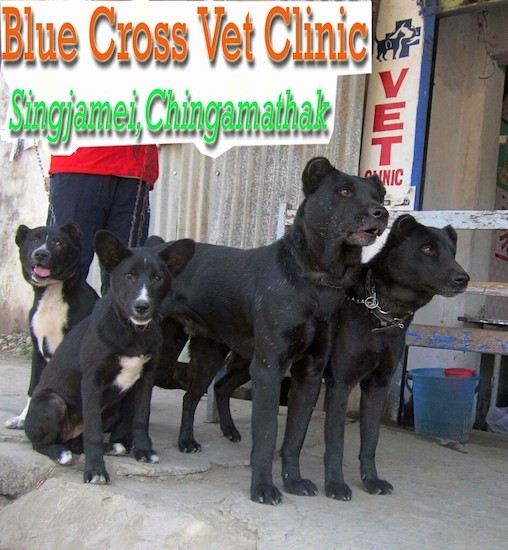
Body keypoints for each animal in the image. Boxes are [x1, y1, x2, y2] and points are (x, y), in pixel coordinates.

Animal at [5, 223, 98, 432]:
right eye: (34, 240)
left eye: (58, 243)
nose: (40, 253)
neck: (52, 292)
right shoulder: (38, 349)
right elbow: (34, 387)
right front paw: (24, 419)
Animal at [23, 231, 195, 486]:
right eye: (129, 276)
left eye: (157, 278)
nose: (142, 307)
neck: (132, 331)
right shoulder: (92, 382)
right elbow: (93, 433)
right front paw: (95, 471)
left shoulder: (146, 378)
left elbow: (141, 417)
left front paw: (142, 450)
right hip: (52, 401)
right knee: (41, 443)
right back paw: (60, 452)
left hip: (112, 408)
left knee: (77, 442)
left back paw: (114, 446)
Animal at [324, 216, 470, 504]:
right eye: (427, 249)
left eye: (453, 253)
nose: (464, 278)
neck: (381, 314)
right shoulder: (340, 385)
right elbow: (336, 441)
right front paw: (335, 484)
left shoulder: (377, 387)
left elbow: (371, 441)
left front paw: (371, 481)